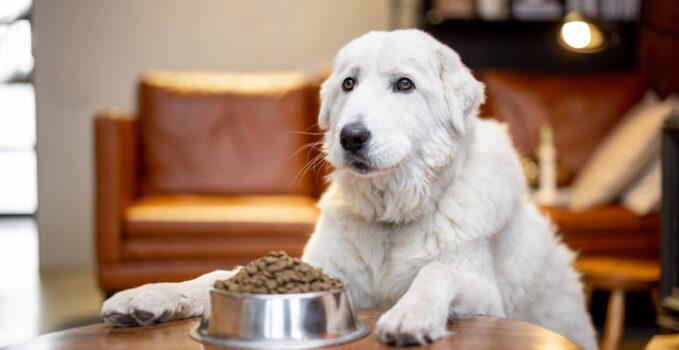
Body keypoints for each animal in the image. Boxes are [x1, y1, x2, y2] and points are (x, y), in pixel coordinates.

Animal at [99, 30, 596, 350]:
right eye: (348, 84)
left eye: (404, 84)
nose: (351, 137)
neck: (391, 218)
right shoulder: (324, 272)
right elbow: (217, 274)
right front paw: (152, 296)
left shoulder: (486, 294)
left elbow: (437, 272)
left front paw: (411, 313)